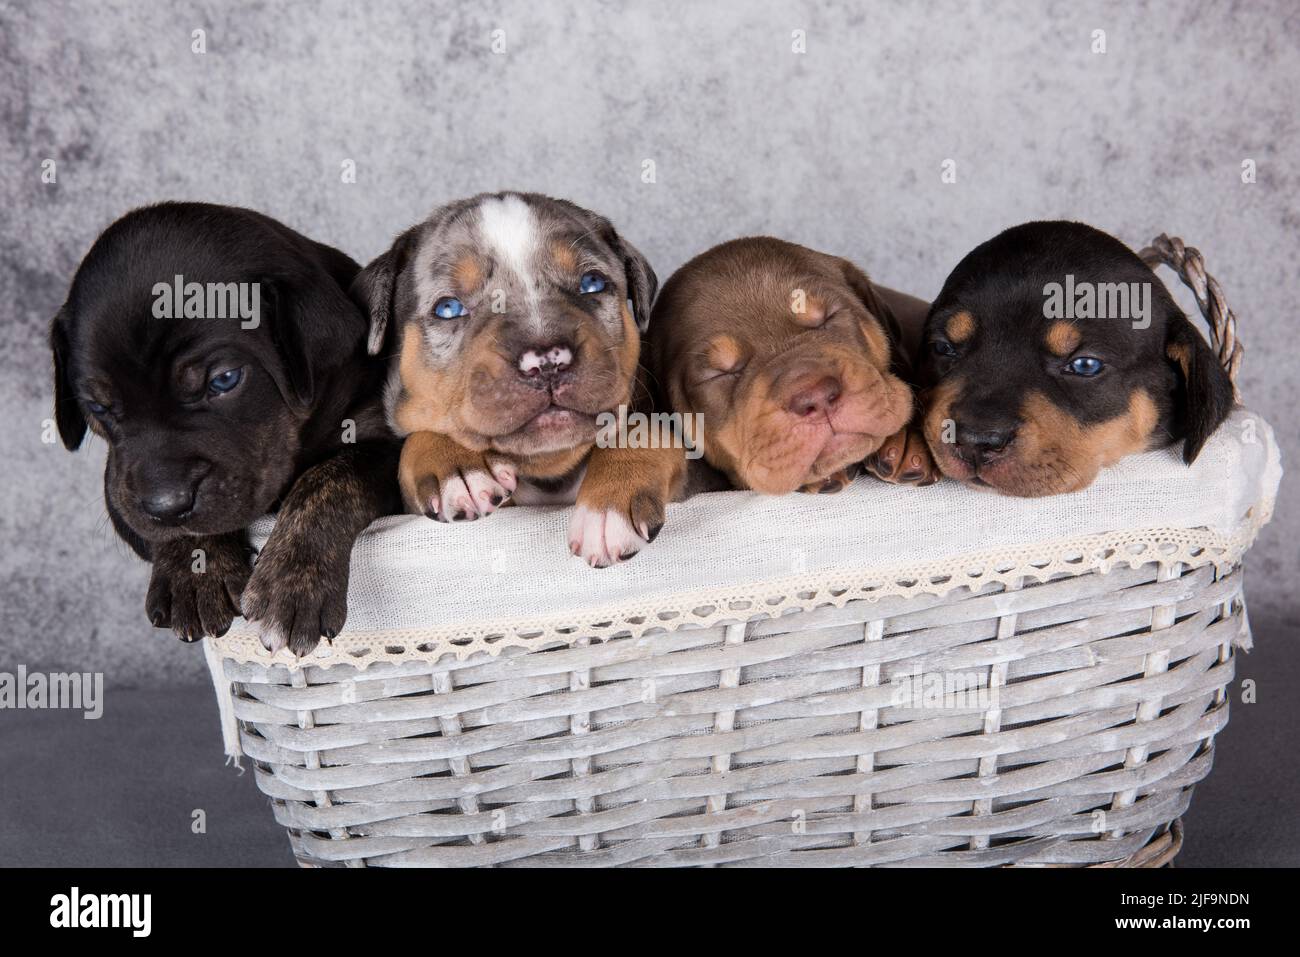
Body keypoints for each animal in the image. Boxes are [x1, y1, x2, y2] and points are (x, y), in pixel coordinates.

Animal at [50, 202, 397, 657]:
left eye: (224, 380)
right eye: (96, 406)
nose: (166, 505)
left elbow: (331, 477)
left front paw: (292, 582)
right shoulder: (121, 497)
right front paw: (197, 570)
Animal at [351, 192, 686, 566]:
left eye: (592, 284)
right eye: (448, 308)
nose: (547, 361)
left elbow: (643, 430)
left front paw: (608, 504)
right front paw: (455, 466)